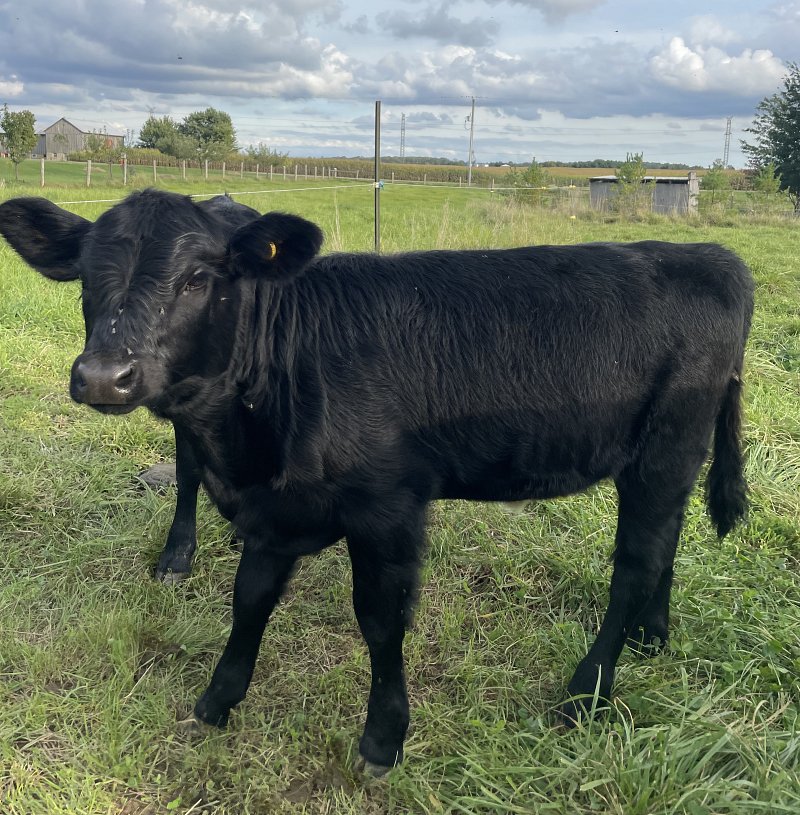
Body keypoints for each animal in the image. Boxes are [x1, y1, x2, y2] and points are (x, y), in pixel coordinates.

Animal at [0, 189, 753, 775]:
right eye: (86, 278)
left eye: (196, 277)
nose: (104, 376)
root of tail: (714, 256)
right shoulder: (277, 512)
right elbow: (250, 600)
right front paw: (218, 699)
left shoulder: (388, 509)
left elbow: (380, 621)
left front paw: (383, 738)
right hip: (666, 459)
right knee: (665, 542)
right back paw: (652, 636)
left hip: (665, 447)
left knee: (633, 564)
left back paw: (587, 690)